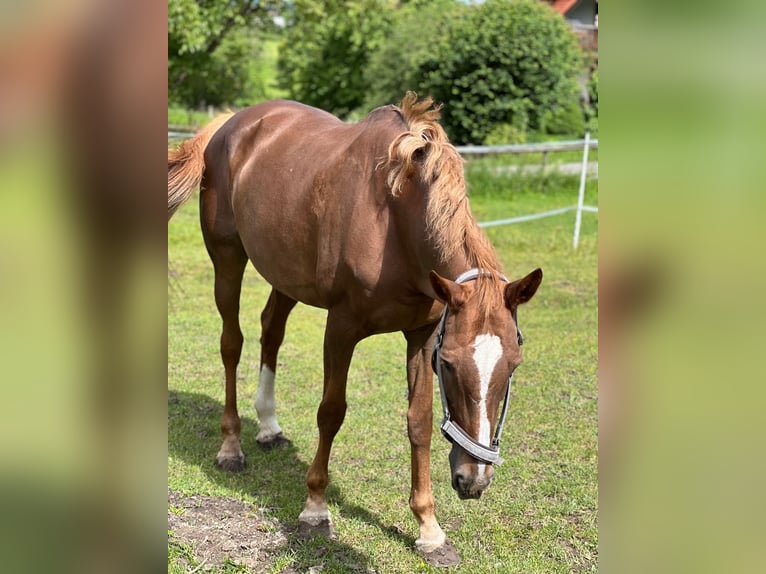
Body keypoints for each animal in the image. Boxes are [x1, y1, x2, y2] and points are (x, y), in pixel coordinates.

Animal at [168, 95, 544, 568]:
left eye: (513, 365)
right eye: (449, 365)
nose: (472, 479)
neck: (397, 224)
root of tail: (229, 124)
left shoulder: (421, 334)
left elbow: (419, 421)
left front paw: (429, 529)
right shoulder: (342, 327)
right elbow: (331, 413)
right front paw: (315, 509)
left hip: (285, 274)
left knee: (271, 331)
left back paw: (269, 426)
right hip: (228, 259)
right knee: (231, 344)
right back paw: (231, 448)